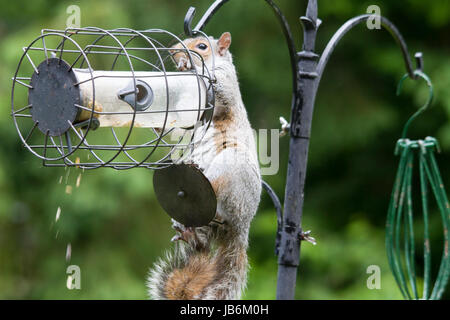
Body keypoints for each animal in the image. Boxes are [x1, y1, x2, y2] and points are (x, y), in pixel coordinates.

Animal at [148, 32, 260, 300]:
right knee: (203, 243)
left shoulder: (225, 86)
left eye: (201, 46)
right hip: (203, 223)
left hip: (230, 170)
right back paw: (191, 236)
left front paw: (190, 67)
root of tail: (241, 227)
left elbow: (220, 92)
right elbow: (176, 128)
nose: (173, 51)